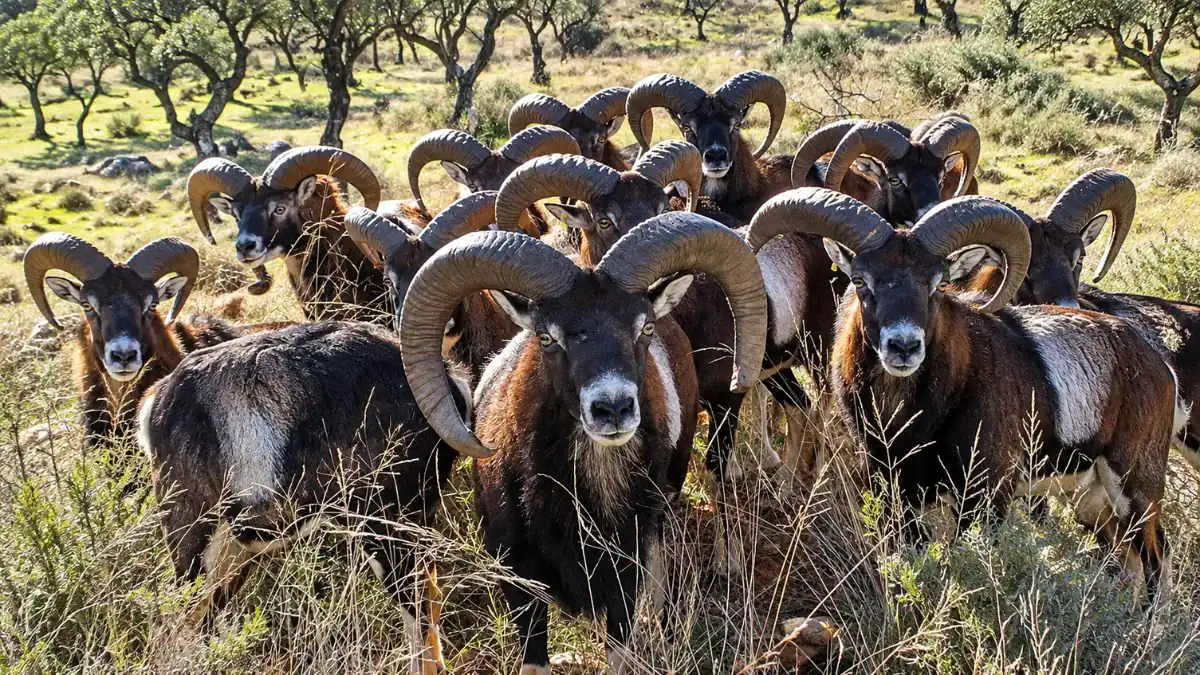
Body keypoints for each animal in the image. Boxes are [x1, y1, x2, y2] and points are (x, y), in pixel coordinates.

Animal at [748, 188, 1180, 598]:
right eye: (860, 280)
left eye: (938, 284)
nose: (903, 346)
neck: (911, 424)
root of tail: (1160, 367)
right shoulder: (899, 493)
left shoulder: (986, 499)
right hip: (1089, 499)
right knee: (1127, 558)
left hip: (1135, 487)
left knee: (1156, 556)